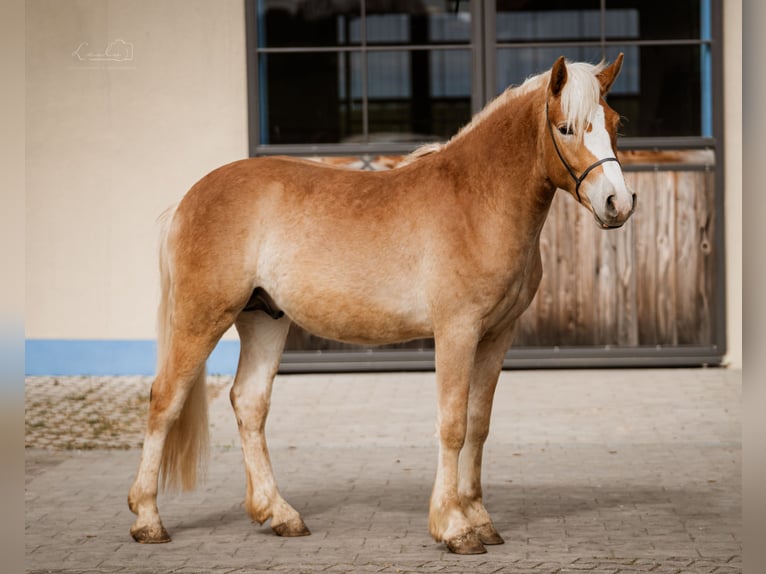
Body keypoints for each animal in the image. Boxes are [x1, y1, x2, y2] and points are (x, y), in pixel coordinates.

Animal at [128, 54, 635, 555]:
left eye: (616, 122)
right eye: (566, 127)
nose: (618, 203)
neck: (476, 201)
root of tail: (188, 200)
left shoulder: (497, 335)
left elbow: (479, 423)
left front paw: (479, 517)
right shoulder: (457, 330)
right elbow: (453, 424)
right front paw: (454, 527)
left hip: (264, 320)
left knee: (249, 404)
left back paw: (280, 514)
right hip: (201, 318)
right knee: (165, 401)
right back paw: (148, 519)